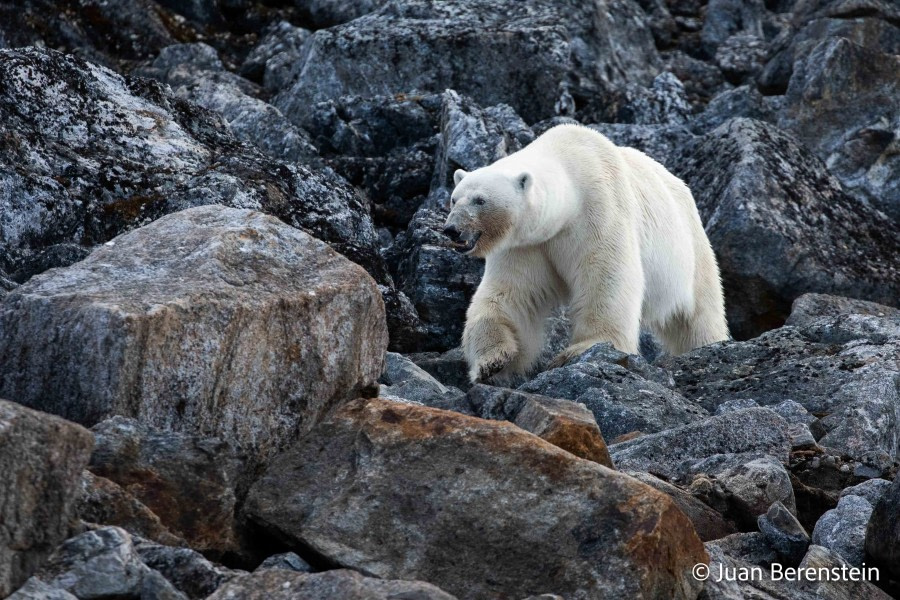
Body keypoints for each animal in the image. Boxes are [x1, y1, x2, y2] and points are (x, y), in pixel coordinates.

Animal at [444, 123, 732, 382]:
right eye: (454, 198)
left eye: (480, 200)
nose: (452, 230)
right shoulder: (525, 245)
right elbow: (511, 294)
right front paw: (492, 361)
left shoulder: (599, 210)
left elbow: (606, 277)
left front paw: (581, 350)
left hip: (690, 249)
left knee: (699, 313)